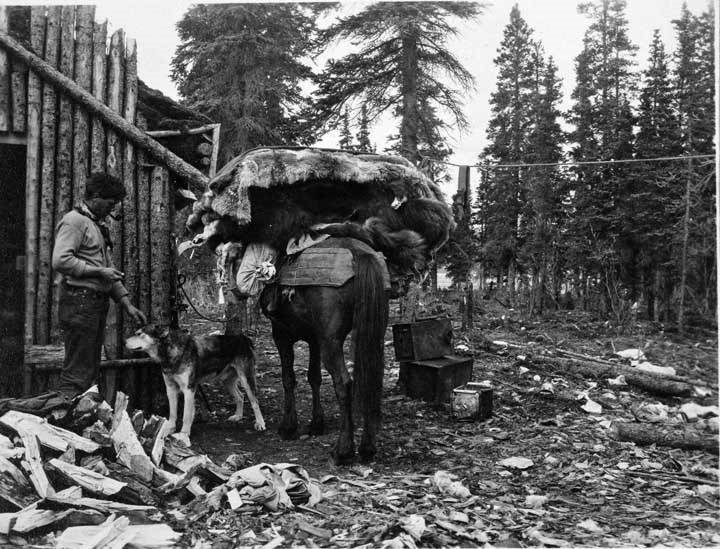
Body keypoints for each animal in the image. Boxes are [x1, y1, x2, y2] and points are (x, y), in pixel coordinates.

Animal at [125, 326, 266, 446]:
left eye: (139, 334)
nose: (125, 341)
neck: (172, 352)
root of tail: (243, 338)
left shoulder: (188, 389)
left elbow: (186, 415)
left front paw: (183, 435)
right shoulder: (171, 389)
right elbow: (173, 414)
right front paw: (169, 429)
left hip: (246, 379)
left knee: (254, 401)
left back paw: (260, 423)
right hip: (227, 382)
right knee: (240, 396)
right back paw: (238, 416)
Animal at [256, 235, 386, 462]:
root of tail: (361, 254)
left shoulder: (281, 334)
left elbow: (288, 378)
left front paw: (288, 427)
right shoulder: (314, 339)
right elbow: (314, 377)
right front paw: (317, 424)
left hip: (330, 342)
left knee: (344, 383)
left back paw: (343, 450)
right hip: (372, 334)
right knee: (371, 379)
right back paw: (367, 448)